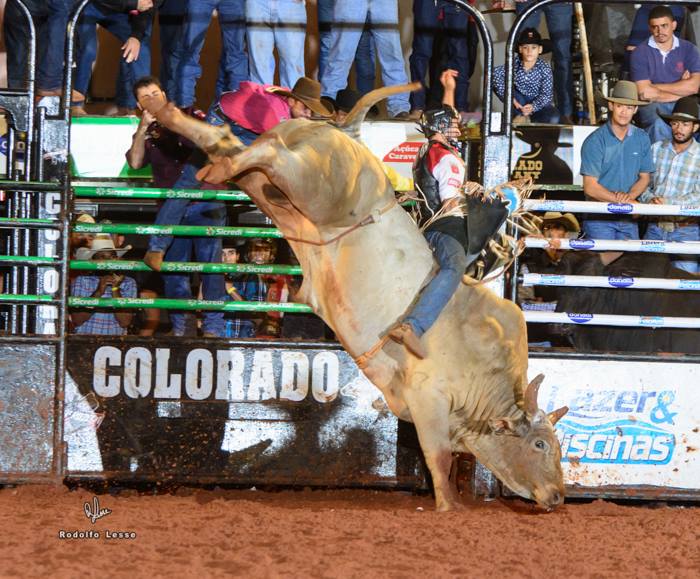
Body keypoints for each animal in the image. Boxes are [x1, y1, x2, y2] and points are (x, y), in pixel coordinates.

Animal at [146, 86, 568, 512]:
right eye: (540, 444)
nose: (558, 496)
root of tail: (345, 129)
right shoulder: (429, 398)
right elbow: (439, 458)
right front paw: (451, 506)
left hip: (281, 197)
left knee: (229, 144)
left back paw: (164, 111)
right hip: (318, 186)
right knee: (271, 154)